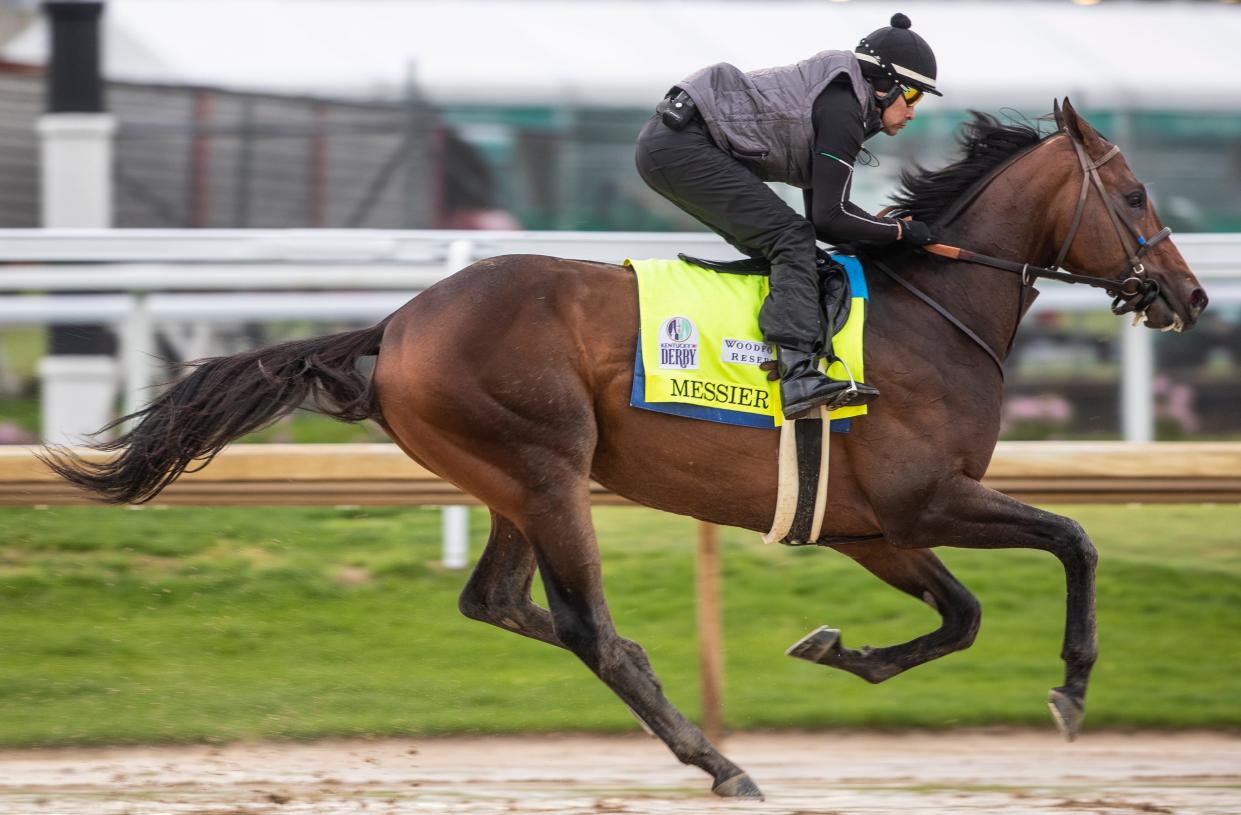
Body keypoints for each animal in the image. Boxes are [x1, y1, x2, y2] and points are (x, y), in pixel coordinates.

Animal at [45, 99, 1201, 793]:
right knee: (588, 628)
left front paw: (839, 649)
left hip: (513, 482)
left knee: (500, 601)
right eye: (1136, 194)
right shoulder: (925, 499)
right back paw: (716, 758)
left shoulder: (867, 526)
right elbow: (1073, 539)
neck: (935, 314)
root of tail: (396, 324)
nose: (1188, 295)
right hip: (545, 469)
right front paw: (1069, 688)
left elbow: (960, 615)